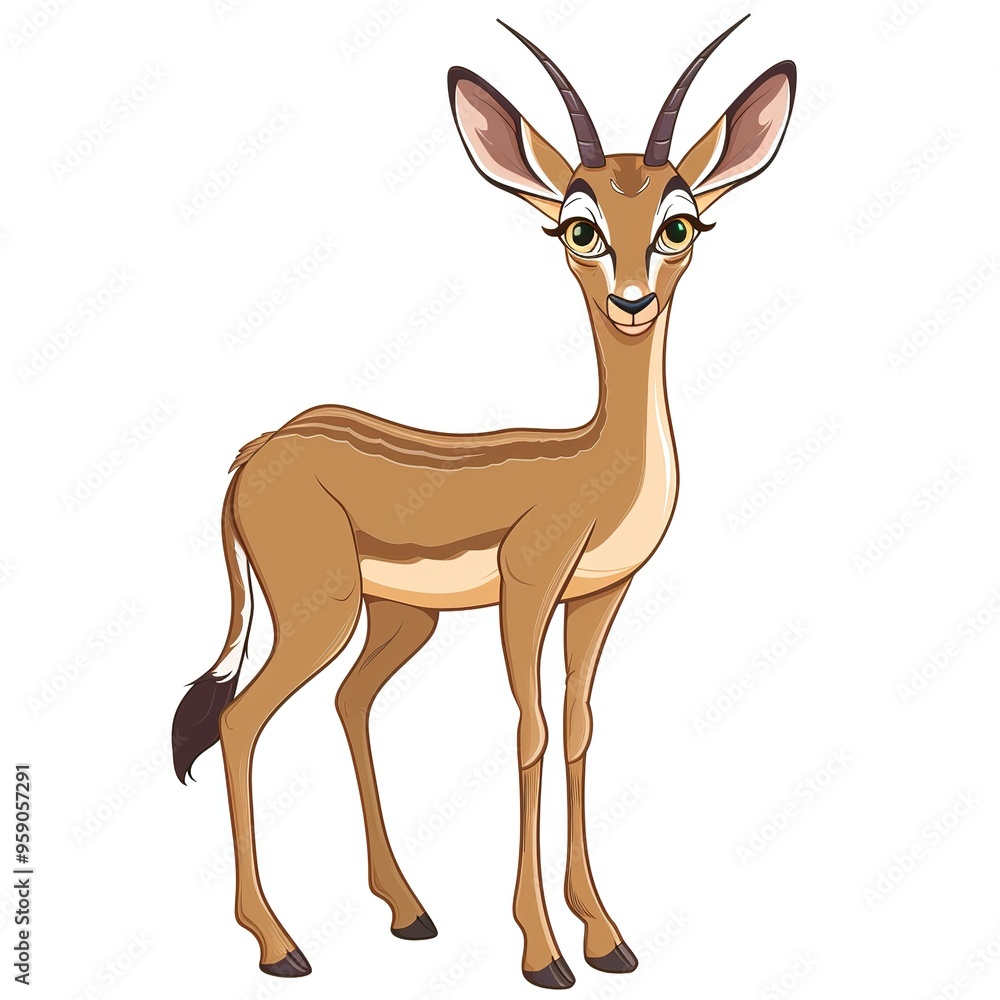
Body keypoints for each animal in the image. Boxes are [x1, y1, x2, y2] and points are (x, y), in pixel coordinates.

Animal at [172, 15, 795, 989]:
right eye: (579, 227)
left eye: (679, 223)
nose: (631, 301)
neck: (594, 465)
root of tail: (259, 448)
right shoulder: (528, 590)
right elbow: (529, 731)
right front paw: (544, 953)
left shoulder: (598, 597)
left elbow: (577, 729)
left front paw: (607, 937)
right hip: (321, 612)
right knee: (238, 720)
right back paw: (280, 946)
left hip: (400, 618)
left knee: (349, 703)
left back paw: (409, 912)